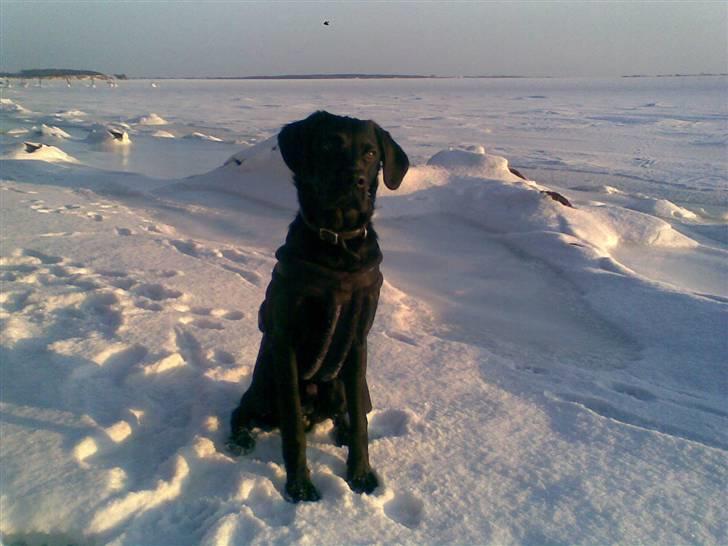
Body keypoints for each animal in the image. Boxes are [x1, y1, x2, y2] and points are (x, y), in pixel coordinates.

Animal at [229, 110, 410, 502]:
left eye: (371, 153)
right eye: (329, 145)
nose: (355, 179)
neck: (338, 246)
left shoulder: (358, 343)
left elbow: (360, 420)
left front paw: (360, 473)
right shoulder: (286, 341)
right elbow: (293, 431)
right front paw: (299, 485)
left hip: (335, 384)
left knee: (343, 412)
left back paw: (340, 431)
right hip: (266, 386)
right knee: (242, 410)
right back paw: (239, 438)